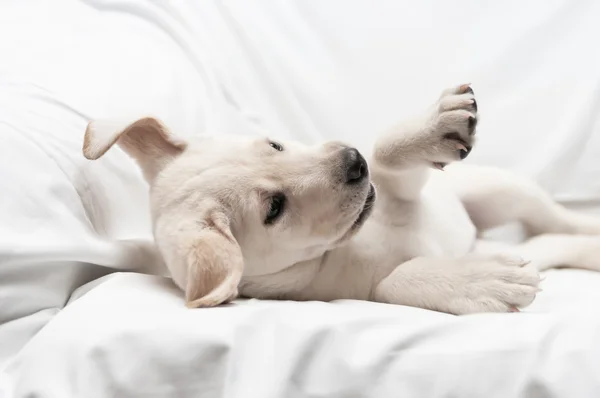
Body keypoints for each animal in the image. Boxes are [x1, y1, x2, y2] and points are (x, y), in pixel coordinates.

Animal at [82, 85, 600, 316]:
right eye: (274, 209)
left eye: (275, 144)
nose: (353, 162)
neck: (351, 241)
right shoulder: (356, 292)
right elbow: (395, 280)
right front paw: (484, 280)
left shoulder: (399, 191)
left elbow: (387, 156)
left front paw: (432, 127)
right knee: (547, 240)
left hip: (498, 191)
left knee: (554, 221)